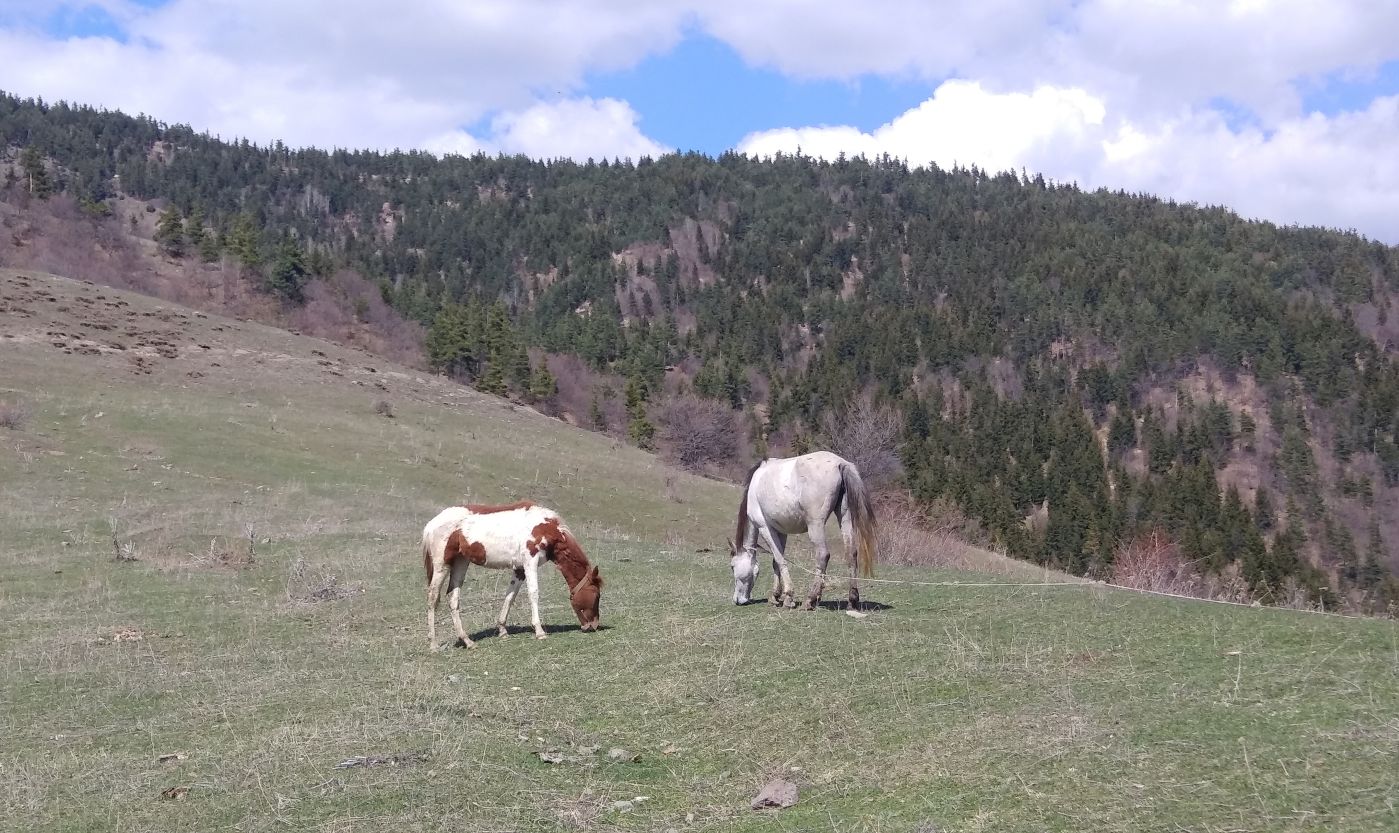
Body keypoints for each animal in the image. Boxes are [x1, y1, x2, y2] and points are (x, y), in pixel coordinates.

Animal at [422, 501, 604, 652]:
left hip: (461, 562)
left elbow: (510, 596)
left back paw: (467, 641)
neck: (545, 528)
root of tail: (431, 525)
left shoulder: (519, 569)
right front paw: (539, 631)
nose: (593, 625)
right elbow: (533, 594)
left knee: (453, 598)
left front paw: (502, 630)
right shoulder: (530, 562)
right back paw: (433, 644)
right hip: (442, 565)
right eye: (596, 595)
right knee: (432, 597)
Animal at [733, 453, 872, 610]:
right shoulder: (781, 532)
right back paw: (852, 599)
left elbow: (780, 560)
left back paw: (810, 599)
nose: (737, 600)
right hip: (845, 518)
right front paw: (775, 596)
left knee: (823, 555)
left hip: (815, 525)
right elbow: (776, 561)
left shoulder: (764, 528)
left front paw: (788, 597)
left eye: (732, 567)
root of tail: (840, 463)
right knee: (851, 553)